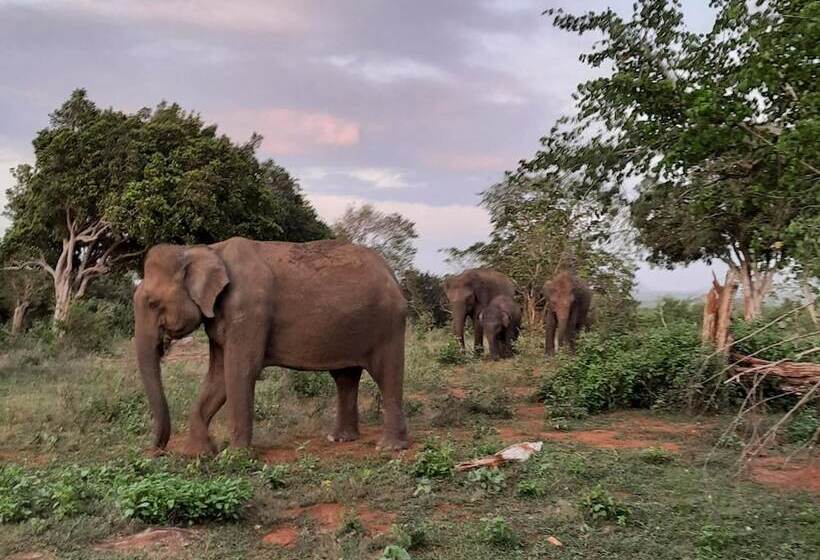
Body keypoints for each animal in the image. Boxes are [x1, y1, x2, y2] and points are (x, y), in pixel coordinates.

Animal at [134, 237, 409, 455]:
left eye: (153, 303)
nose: (156, 452)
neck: (205, 249)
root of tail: (392, 274)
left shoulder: (249, 312)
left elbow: (240, 370)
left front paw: (236, 456)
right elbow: (217, 375)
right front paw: (198, 454)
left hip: (387, 324)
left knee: (386, 374)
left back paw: (389, 447)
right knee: (345, 377)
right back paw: (340, 439)